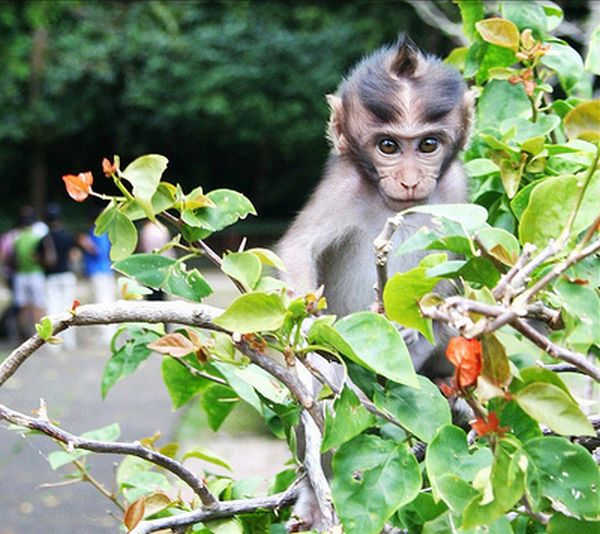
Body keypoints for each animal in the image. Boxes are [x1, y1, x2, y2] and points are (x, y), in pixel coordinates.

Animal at [276, 37, 474, 532]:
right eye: (388, 146)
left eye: (427, 145)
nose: (409, 179)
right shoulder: (344, 185)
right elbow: (299, 249)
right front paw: (313, 342)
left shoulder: (455, 185)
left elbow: (459, 268)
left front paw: (419, 333)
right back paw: (315, 495)